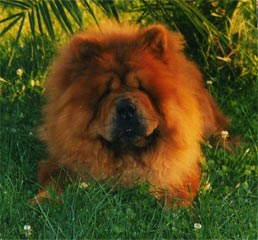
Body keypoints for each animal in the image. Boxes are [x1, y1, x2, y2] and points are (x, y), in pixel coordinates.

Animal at [35, 23, 229, 206]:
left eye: (141, 88)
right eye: (106, 92)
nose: (126, 109)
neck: (128, 154)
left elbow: (180, 189)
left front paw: (176, 210)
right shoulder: (60, 161)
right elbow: (55, 180)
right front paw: (43, 200)